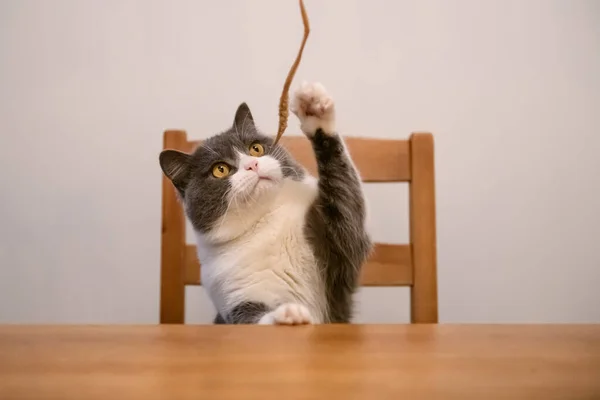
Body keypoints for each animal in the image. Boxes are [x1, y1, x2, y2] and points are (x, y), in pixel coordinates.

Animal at [159, 82, 376, 324]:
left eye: (256, 148)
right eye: (220, 169)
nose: (252, 165)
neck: (265, 221)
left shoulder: (338, 249)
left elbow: (347, 204)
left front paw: (313, 108)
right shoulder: (234, 294)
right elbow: (251, 320)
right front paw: (288, 315)